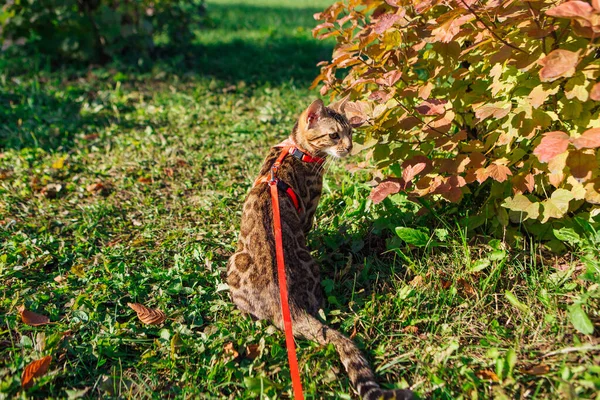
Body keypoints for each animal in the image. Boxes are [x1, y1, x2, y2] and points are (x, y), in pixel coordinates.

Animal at [225, 98, 412, 398]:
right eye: (334, 135)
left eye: (351, 133)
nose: (349, 148)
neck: (298, 150)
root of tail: (287, 308)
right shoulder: (308, 214)